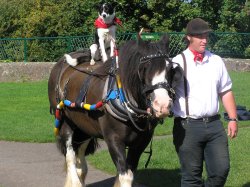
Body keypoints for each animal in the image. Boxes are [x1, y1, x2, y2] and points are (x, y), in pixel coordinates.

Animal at [47, 34, 183, 187]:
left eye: (170, 69)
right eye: (144, 67)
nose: (162, 105)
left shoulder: (141, 142)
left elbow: (129, 172)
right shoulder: (114, 139)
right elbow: (125, 176)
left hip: (84, 126)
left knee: (80, 154)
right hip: (66, 122)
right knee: (70, 155)